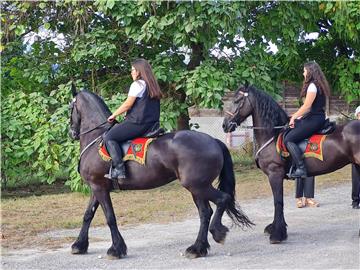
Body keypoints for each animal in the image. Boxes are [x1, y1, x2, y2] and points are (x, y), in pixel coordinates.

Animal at [67, 87, 253, 258]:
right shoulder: (97, 187)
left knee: (222, 200)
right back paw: (197, 248)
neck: (96, 137)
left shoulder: (98, 186)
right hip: (197, 187)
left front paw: (116, 249)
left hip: (197, 186)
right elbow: (88, 215)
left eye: (70, 107)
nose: (72, 133)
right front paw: (79, 245)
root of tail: (213, 140)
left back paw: (216, 233)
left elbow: (110, 217)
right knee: (205, 213)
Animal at [222, 86, 360, 245]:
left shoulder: (274, 174)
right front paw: (276, 228)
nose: (225, 125)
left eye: (237, 100)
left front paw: (277, 234)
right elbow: (278, 201)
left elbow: (278, 201)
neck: (273, 134)